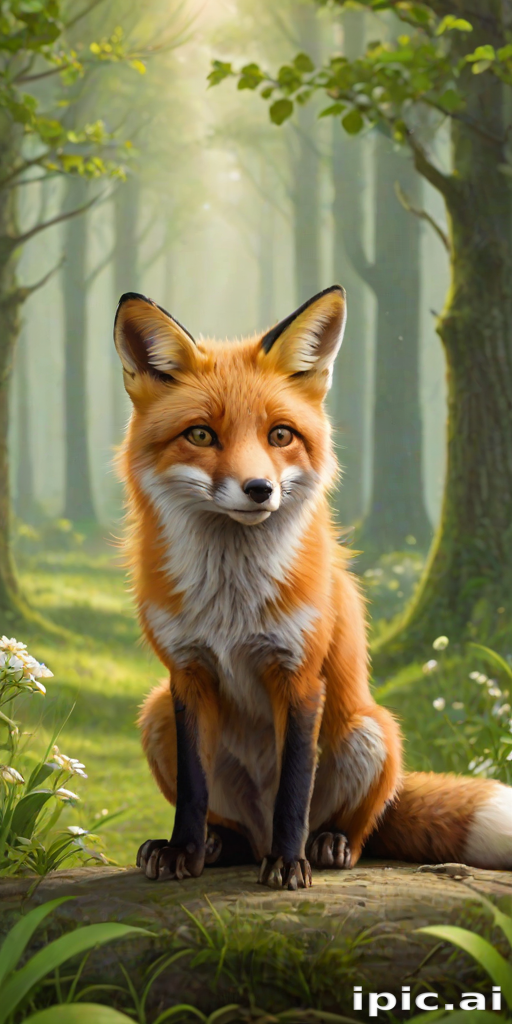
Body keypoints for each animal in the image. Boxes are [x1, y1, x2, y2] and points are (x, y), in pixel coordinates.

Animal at [114, 284, 512, 890]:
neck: (232, 603)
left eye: (280, 435)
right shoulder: (187, 674)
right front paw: (183, 850)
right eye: (201, 434)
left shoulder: (299, 675)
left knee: (357, 826)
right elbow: (193, 789)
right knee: (232, 826)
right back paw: (219, 844)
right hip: (156, 712)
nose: (259, 489)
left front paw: (288, 862)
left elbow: (294, 788)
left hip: (370, 732)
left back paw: (326, 844)